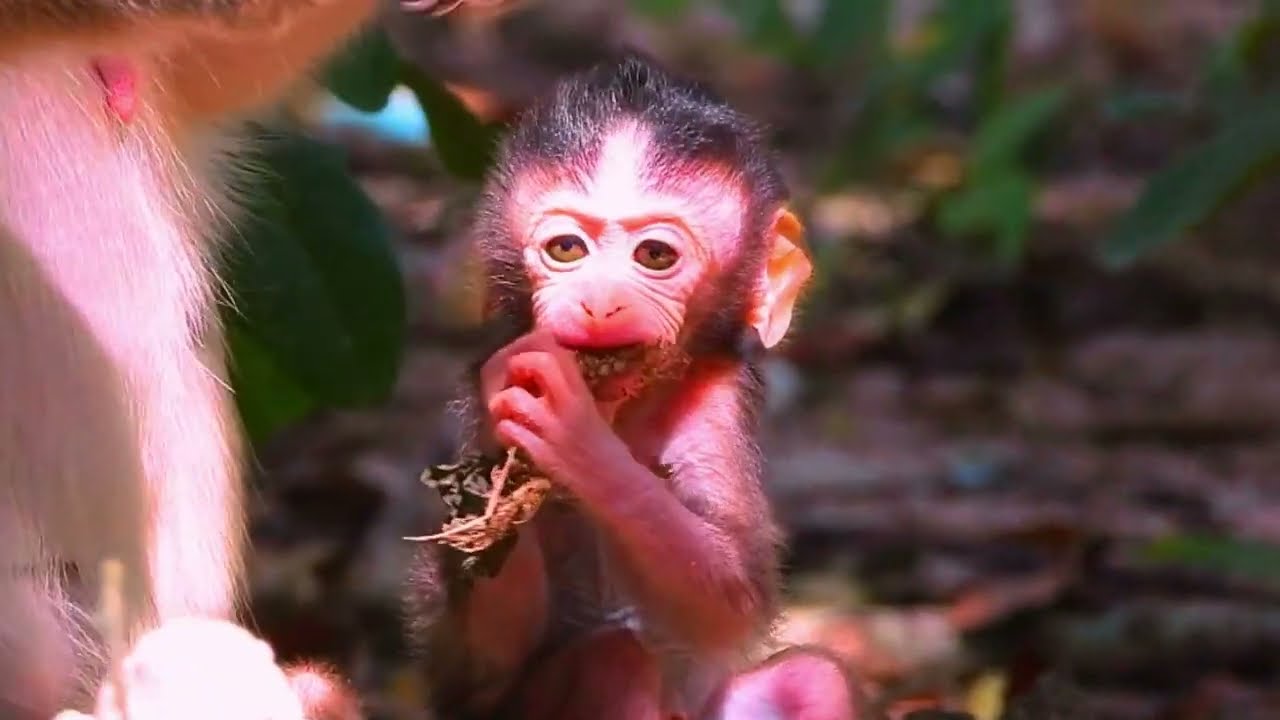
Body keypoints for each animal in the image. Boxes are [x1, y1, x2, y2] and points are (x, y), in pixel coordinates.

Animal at [406, 54, 864, 720]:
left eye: (654, 256)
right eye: (566, 248)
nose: (598, 302)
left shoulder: (717, 399)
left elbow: (735, 599)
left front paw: (580, 444)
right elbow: (475, 667)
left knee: (811, 678)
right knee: (612, 659)